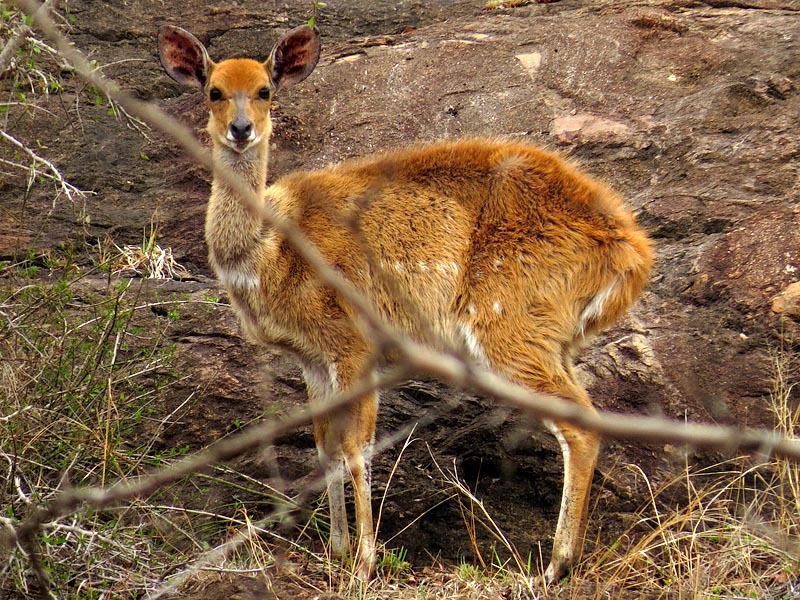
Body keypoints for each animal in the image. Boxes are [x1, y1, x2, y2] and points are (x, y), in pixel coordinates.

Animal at [159, 24, 652, 584]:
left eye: (265, 90)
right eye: (213, 91)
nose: (241, 129)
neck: (270, 248)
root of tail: (632, 249)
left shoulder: (354, 346)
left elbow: (357, 448)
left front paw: (365, 562)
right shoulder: (312, 359)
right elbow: (324, 444)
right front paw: (336, 551)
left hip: (508, 327)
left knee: (580, 423)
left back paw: (554, 567)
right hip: (555, 340)